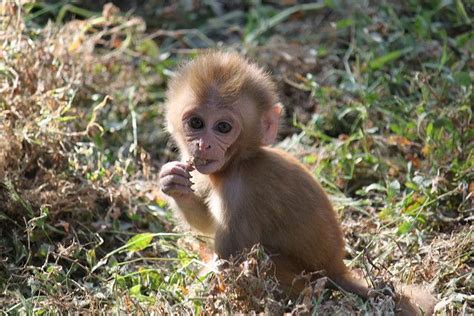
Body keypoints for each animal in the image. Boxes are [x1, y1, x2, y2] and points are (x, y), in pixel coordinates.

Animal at [158, 51, 434, 314]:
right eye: (196, 123)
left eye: (223, 127)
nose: (203, 145)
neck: (241, 161)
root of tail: (336, 269)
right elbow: (206, 222)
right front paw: (174, 183)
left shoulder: (241, 194)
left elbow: (231, 263)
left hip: (306, 280)